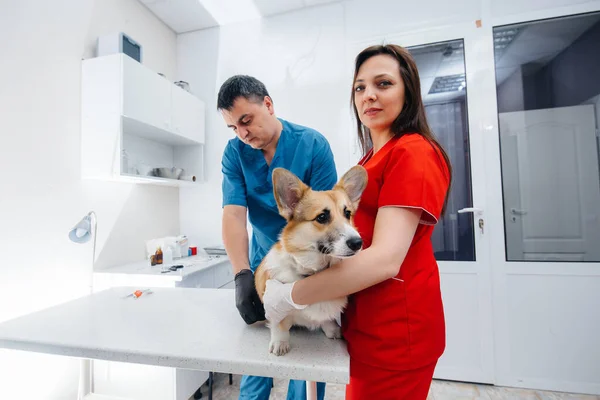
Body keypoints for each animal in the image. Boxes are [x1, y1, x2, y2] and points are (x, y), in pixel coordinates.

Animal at [252, 166, 366, 356]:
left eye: (348, 213)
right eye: (322, 217)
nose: (358, 243)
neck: (312, 273)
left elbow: (327, 319)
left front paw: (332, 329)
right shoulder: (275, 307)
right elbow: (279, 324)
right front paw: (280, 343)